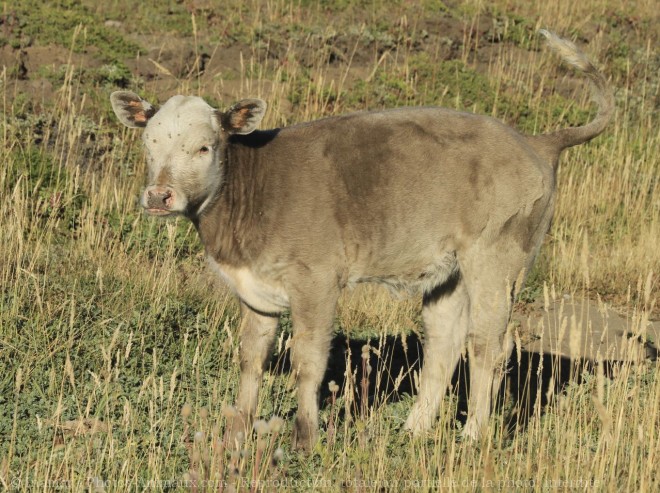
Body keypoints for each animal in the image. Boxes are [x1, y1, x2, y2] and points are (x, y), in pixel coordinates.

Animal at [111, 29, 612, 450]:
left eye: (204, 147)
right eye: (149, 144)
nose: (159, 196)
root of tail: (536, 141)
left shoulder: (316, 280)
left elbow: (308, 360)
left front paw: (305, 438)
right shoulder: (254, 288)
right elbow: (252, 356)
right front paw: (238, 432)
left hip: (497, 259)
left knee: (489, 344)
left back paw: (472, 437)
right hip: (449, 270)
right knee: (445, 343)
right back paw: (414, 429)